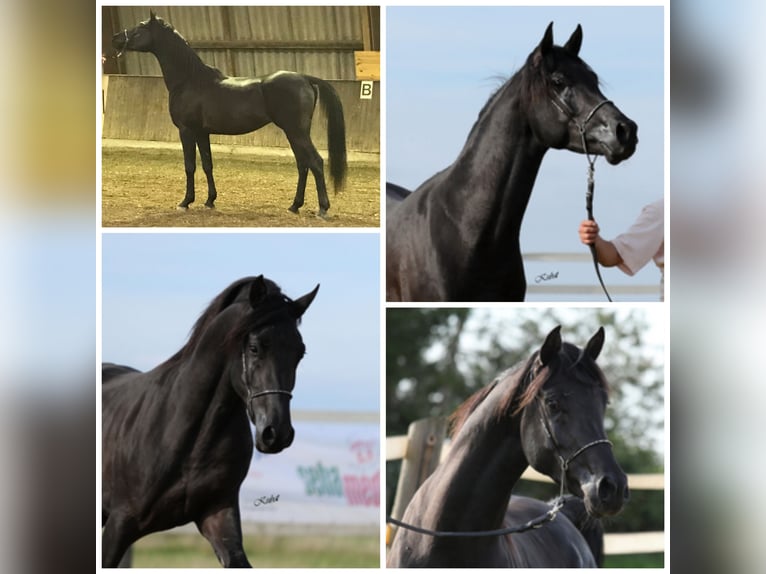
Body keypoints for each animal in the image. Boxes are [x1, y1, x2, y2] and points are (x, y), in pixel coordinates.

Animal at [112, 11, 347, 217]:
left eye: (140, 28)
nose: (115, 38)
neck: (190, 80)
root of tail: (305, 78)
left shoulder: (186, 131)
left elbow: (190, 166)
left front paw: (185, 202)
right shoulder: (202, 133)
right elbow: (207, 164)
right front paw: (209, 200)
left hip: (296, 132)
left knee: (315, 162)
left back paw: (322, 209)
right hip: (294, 133)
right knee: (303, 164)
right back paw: (294, 206)